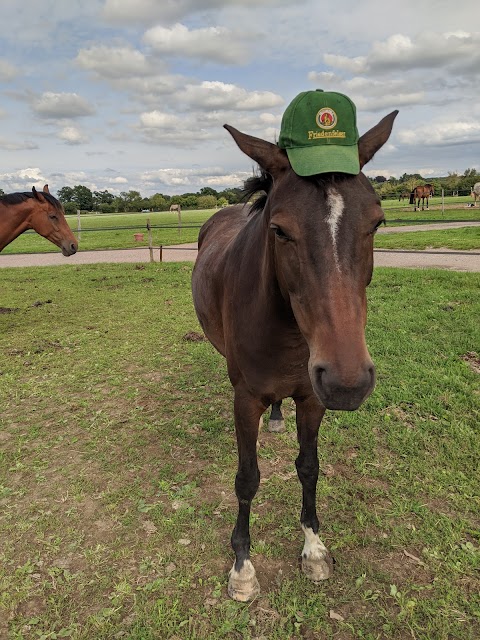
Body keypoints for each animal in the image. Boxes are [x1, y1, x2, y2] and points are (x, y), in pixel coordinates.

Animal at [191, 109, 398, 600]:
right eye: (280, 230)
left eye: (377, 223)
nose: (347, 382)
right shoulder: (245, 400)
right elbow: (247, 479)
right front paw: (242, 566)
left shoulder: (310, 398)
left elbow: (308, 467)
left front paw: (314, 549)